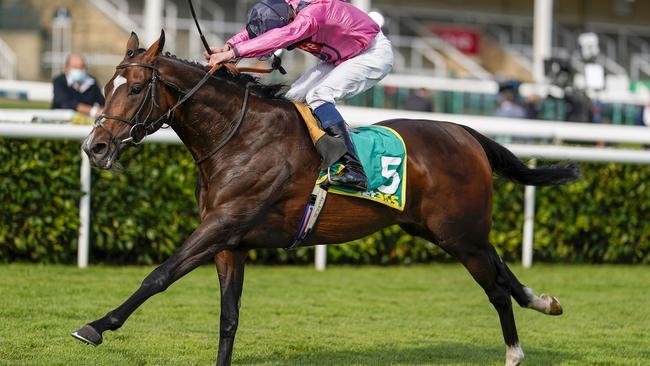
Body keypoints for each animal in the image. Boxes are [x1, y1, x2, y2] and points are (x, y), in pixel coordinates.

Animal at [73, 31, 576, 366]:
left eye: (137, 89)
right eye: (106, 87)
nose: (95, 147)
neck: (239, 137)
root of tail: (465, 132)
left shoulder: (222, 224)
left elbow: (158, 276)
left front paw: (95, 326)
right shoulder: (231, 241)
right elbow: (228, 317)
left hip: (459, 235)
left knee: (495, 287)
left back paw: (514, 351)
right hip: (442, 229)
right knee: (501, 268)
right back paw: (544, 302)